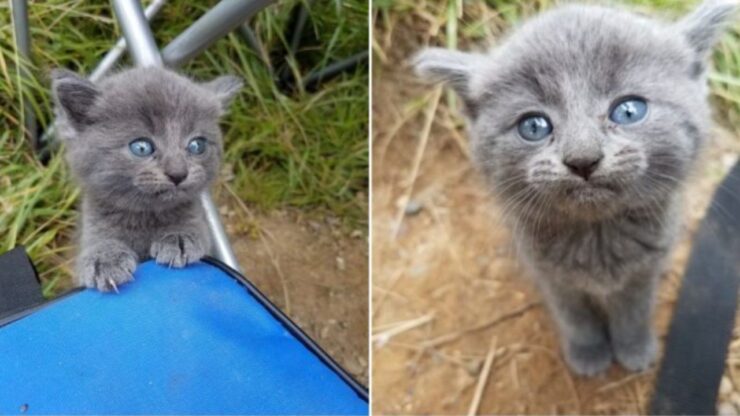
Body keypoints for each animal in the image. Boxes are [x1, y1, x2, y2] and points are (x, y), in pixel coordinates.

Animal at [52, 66, 243, 292]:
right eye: (141, 147)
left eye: (197, 145)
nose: (178, 173)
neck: (145, 217)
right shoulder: (92, 224)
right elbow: (97, 242)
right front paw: (104, 259)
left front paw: (179, 236)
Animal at [416, 0, 736, 376]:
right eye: (534, 126)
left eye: (629, 110)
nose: (583, 159)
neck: (596, 237)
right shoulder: (552, 277)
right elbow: (575, 318)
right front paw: (588, 354)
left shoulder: (643, 270)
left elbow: (634, 312)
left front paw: (635, 349)